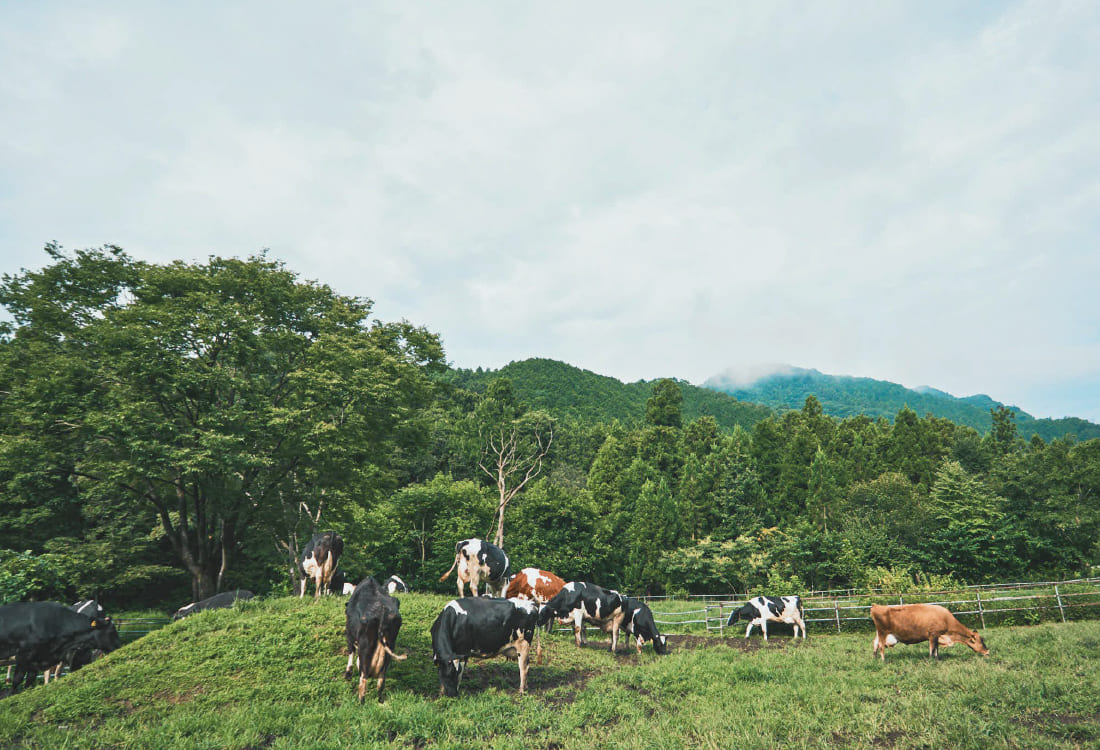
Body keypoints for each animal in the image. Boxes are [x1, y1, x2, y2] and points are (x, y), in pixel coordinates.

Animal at [341, 571, 407, 699]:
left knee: (363, 680)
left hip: (364, 647)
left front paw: (348, 674)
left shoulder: (350, 633)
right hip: (390, 646)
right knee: (381, 681)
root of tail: (382, 611)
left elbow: (351, 651)